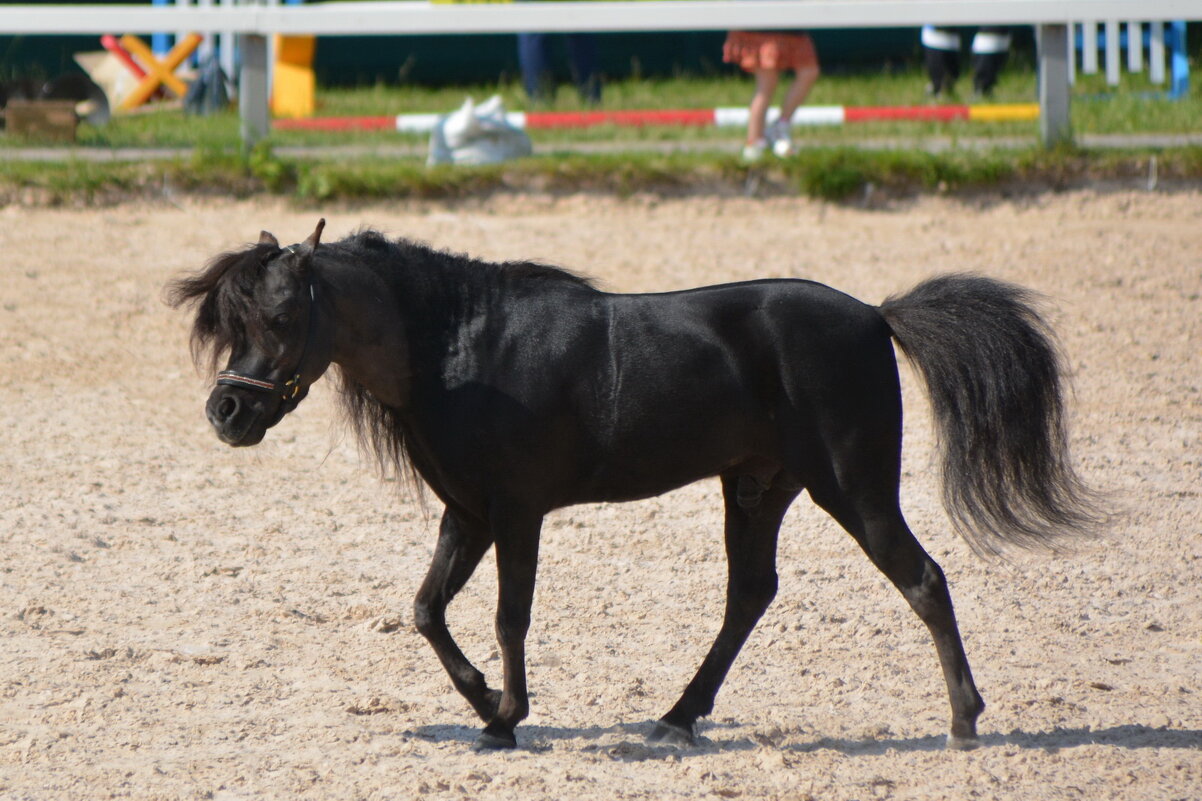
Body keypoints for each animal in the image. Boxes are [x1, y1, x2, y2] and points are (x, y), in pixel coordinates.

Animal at [169, 218, 1101, 750]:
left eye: (280, 317)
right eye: (231, 319)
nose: (225, 411)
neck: (462, 345)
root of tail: (876, 316)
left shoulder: (516, 513)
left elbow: (508, 616)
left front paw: (507, 714)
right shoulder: (466, 512)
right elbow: (427, 609)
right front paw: (485, 705)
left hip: (855, 488)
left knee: (923, 579)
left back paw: (964, 720)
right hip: (757, 487)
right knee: (750, 593)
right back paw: (677, 715)